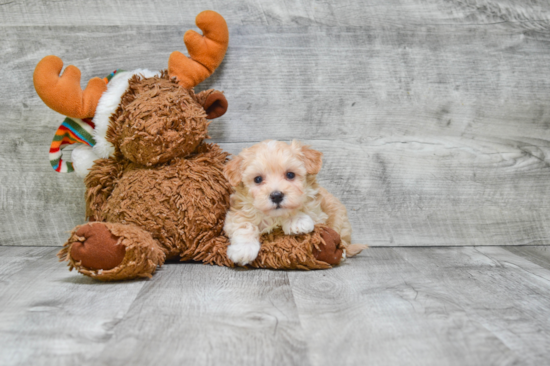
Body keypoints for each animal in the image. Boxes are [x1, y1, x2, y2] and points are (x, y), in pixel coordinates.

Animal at [224, 140, 366, 266]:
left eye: (290, 175)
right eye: (257, 179)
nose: (276, 196)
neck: (276, 216)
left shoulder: (318, 213)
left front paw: (297, 221)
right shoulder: (236, 213)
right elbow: (244, 225)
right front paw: (243, 249)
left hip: (338, 219)